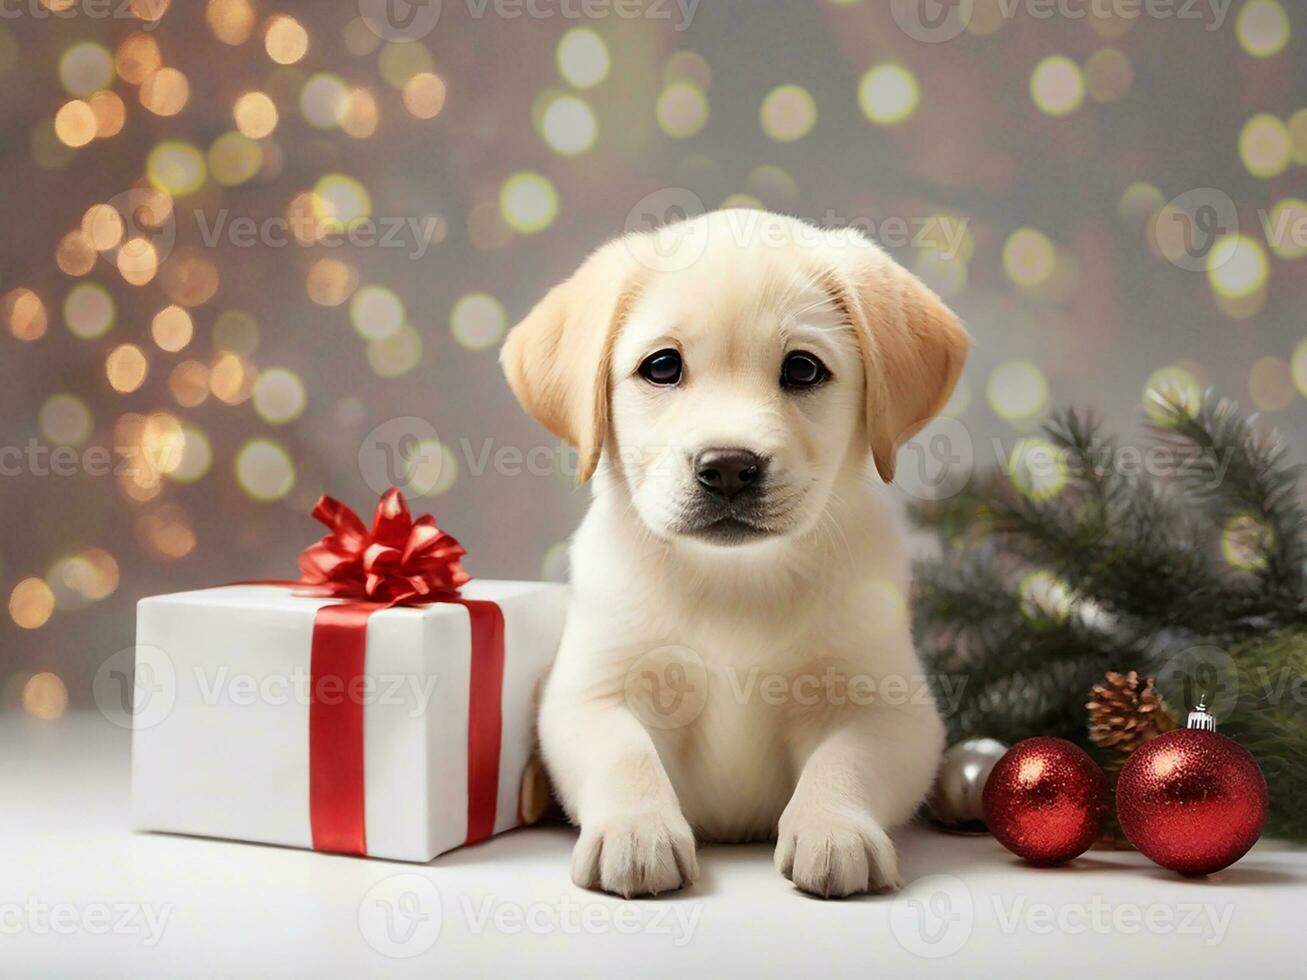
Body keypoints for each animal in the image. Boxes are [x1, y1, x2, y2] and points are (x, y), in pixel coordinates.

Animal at [499, 211, 972, 904]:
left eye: (802, 370)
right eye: (662, 366)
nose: (727, 468)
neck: (734, 582)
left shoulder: (890, 706)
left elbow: (846, 759)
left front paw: (834, 828)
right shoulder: (589, 693)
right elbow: (623, 753)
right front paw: (635, 831)